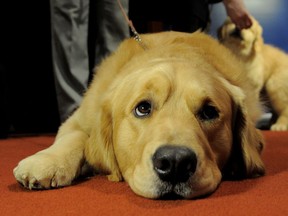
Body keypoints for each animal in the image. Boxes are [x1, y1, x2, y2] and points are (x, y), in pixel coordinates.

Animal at [13, 31, 266, 199]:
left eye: (209, 112)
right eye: (143, 108)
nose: (175, 162)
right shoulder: (80, 117)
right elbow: (76, 137)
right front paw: (47, 162)